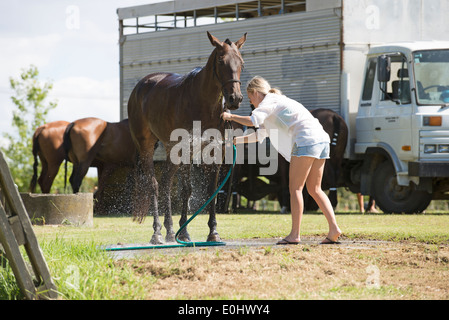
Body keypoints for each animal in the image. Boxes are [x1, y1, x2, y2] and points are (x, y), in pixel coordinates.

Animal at [127, 31, 245, 244]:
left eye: (241, 62)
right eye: (221, 60)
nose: (235, 99)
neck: (202, 104)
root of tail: (141, 85)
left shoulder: (214, 152)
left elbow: (209, 190)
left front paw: (211, 232)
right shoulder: (185, 149)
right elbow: (186, 189)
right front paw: (182, 232)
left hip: (170, 149)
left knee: (166, 182)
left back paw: (169, 230)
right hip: (147, 147)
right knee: (155, 184)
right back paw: (158, 232)